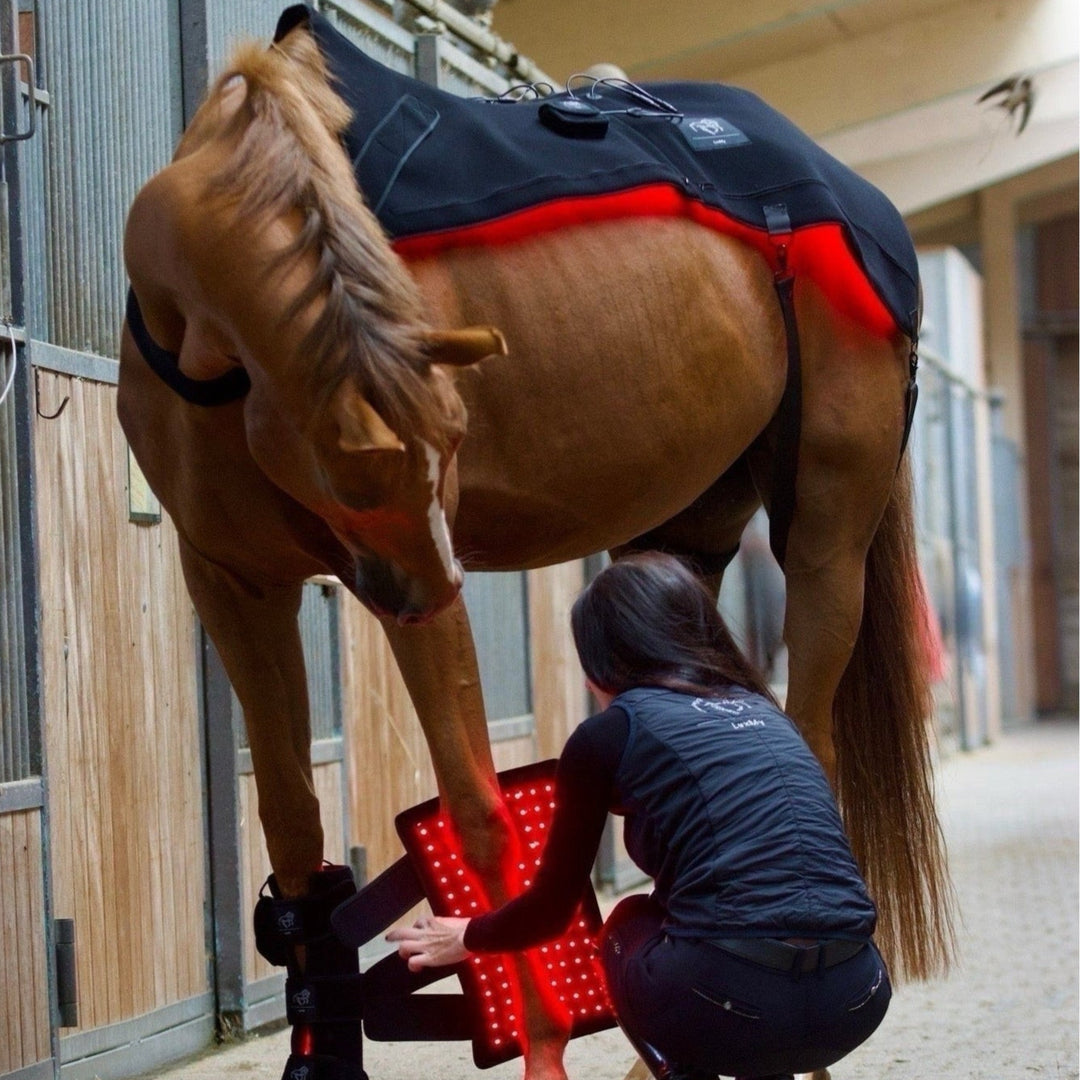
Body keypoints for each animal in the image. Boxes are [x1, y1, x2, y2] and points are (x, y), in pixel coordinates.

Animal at [118, 14, 953, 1080]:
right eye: (355, 473)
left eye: (454, 447)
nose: (431, 585)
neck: (202, 340)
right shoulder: (233, 583)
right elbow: (295, 828)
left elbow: (479, 822)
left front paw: (544, 1042)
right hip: (687, 536)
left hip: (824, 541)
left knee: (810, 738)